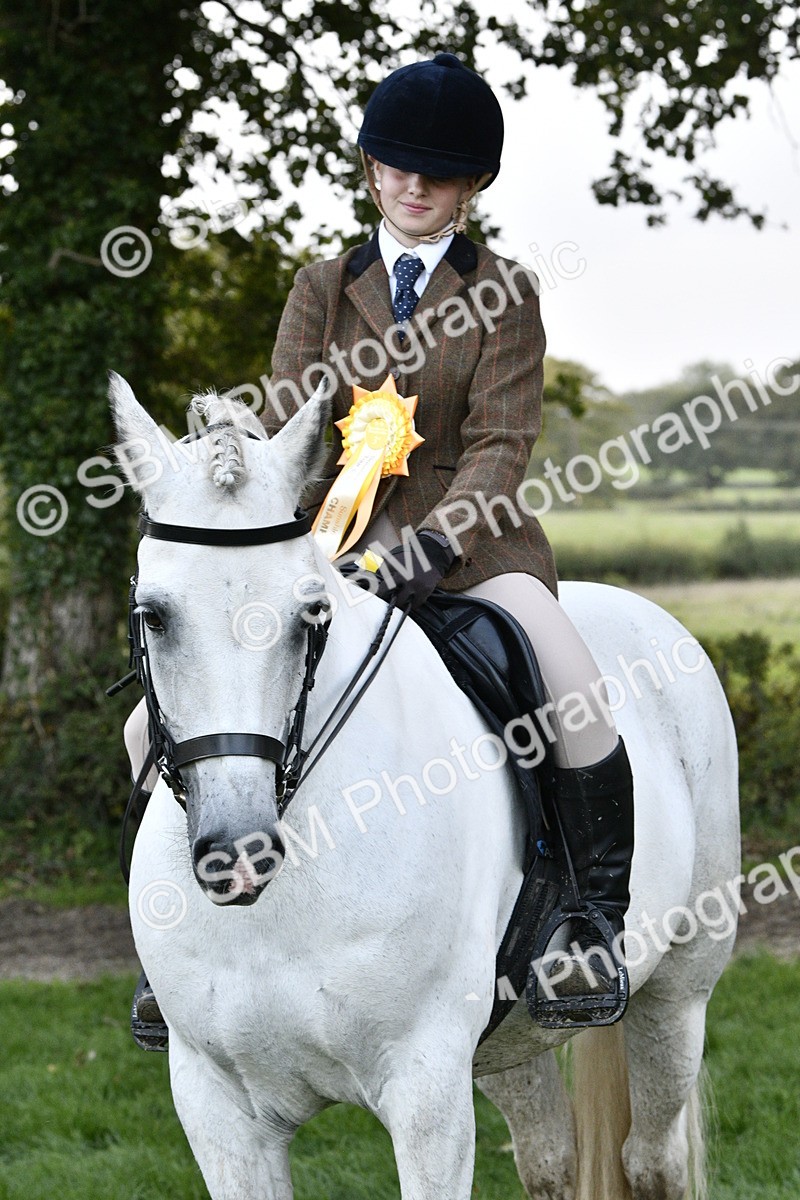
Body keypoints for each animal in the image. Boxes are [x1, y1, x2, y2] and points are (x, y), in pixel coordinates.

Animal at [111, 372, 740, 1200]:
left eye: (309, 613)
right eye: (154, 616)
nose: (237, 853)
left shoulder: (425, 1090)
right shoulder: (217, 1105)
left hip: (678, 993)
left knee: (651, 1158)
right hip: (509, 1040)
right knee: (550, 1158)